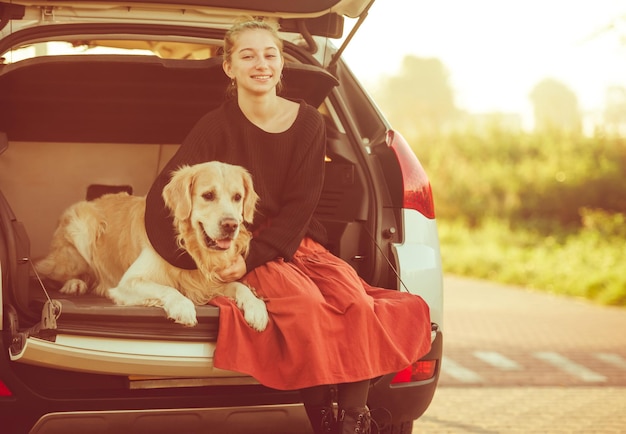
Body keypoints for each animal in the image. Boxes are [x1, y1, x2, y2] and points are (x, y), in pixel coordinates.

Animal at [34, 161, 268, 330]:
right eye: (208, 195)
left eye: (237, 197)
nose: (231, 225)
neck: (189, 247)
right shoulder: (128, 283)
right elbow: (166, 288)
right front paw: (182, 305)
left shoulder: (209, 282)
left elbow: (240, 286)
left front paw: (257, 307)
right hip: (83, 230)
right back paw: (74, 284)